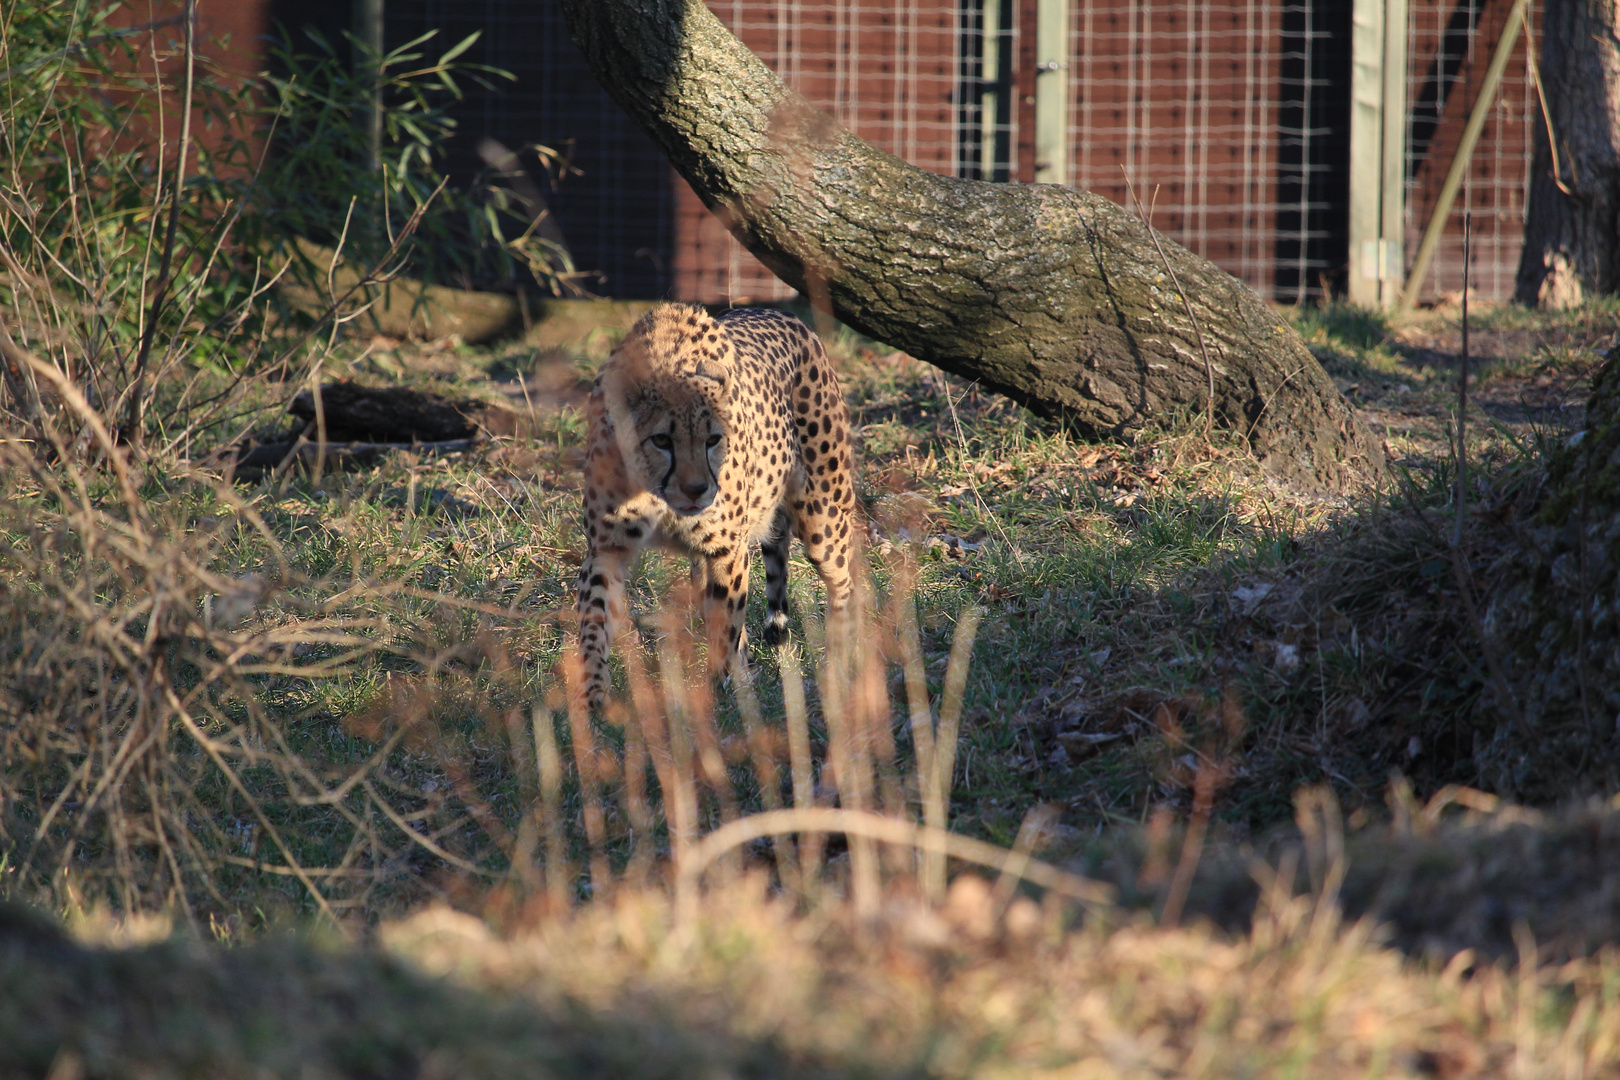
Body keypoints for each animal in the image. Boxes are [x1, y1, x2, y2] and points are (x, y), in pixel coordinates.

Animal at [579, 304, 861, 709]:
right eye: (661, 440)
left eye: (713, 439)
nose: (697, 490)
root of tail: (778, 312)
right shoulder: (606, 548)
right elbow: (594, 618)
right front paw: (593, 696)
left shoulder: (728, 549)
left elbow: (726, 623)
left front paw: (725, 691)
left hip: (824, 516)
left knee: (843, 582)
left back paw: (840, 657)